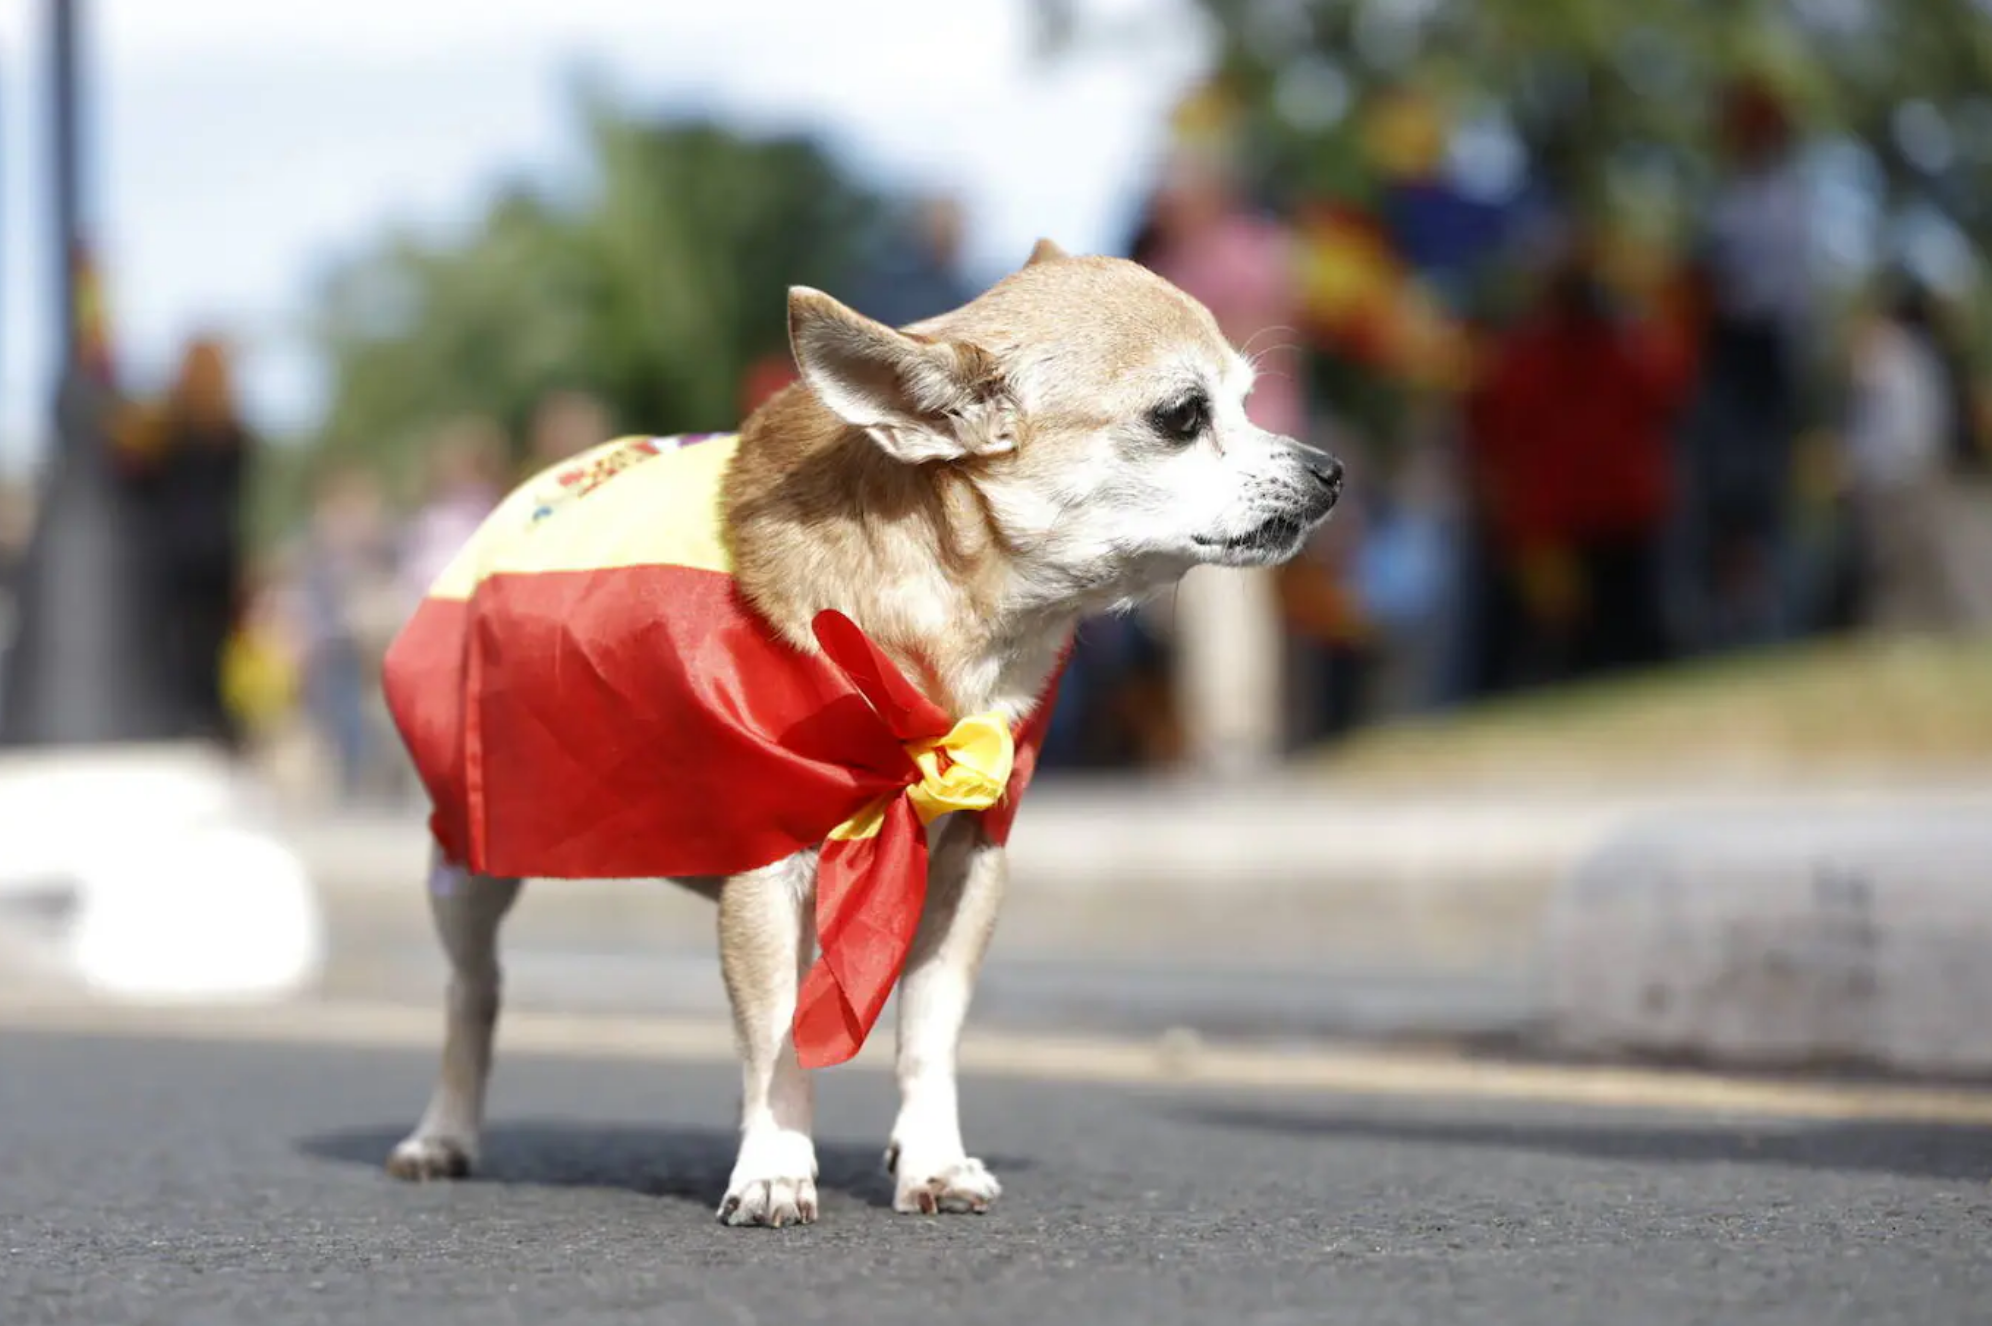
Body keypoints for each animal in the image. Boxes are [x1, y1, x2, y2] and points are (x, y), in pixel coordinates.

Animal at [380, 234, 1346, 1218]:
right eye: (1183, 416)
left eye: (1249, 398)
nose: (1329, 469)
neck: (944, 640)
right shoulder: (770, 867)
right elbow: (778, 1036)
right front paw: (773, 1165)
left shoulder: (963, 869)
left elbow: (925, 1032)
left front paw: (930, 1160)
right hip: (467, 861)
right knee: (474, 994)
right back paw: (443, 1135)